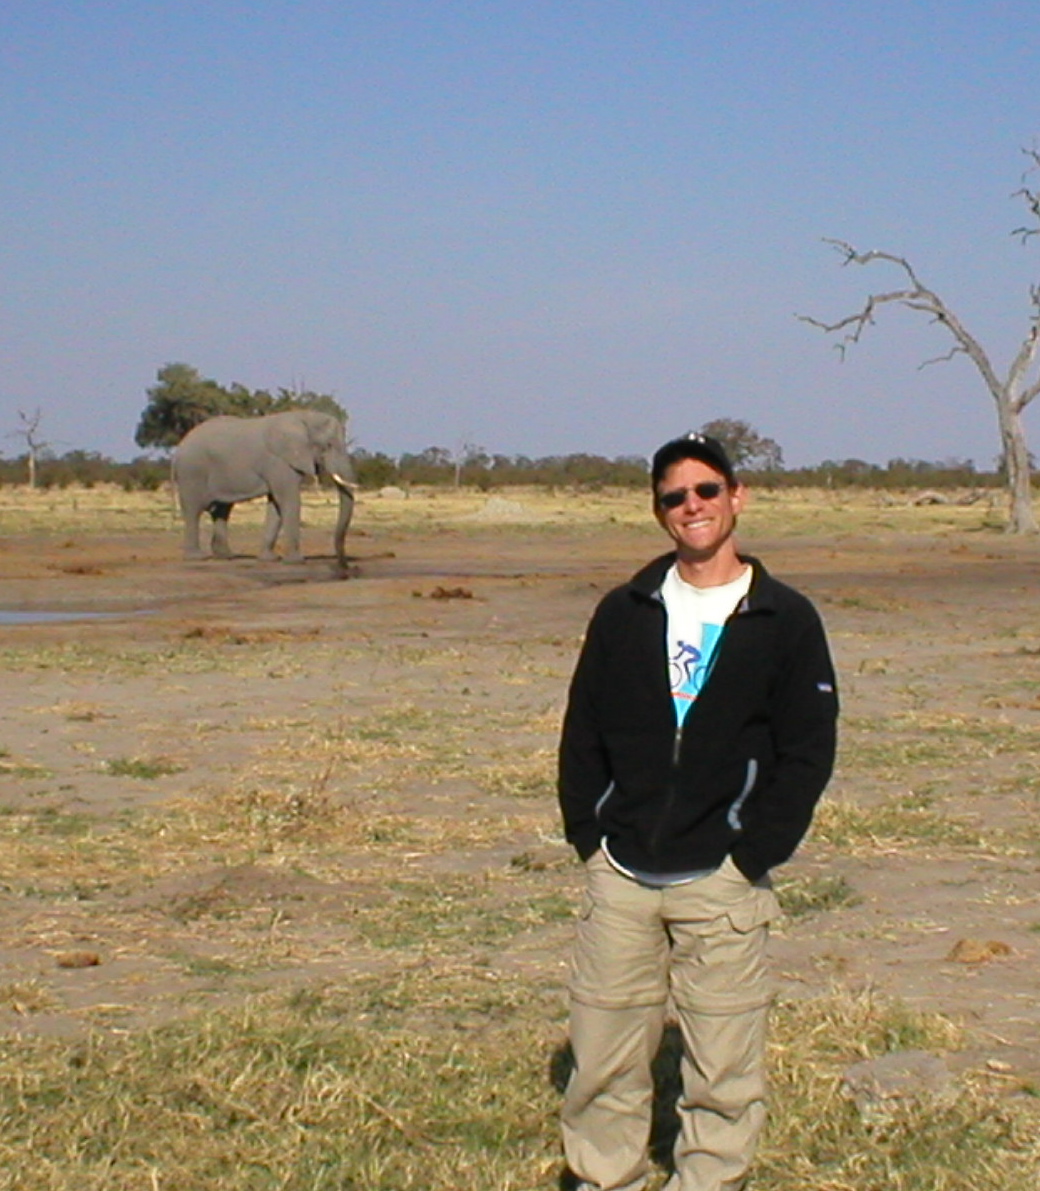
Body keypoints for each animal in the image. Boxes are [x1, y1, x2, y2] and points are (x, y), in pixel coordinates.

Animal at [172, 410, 356, 567]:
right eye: (328, 446)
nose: (343, 565)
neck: (302, 416)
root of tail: (181, 445)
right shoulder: (278, 461)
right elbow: (289, 500)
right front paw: (296, 562)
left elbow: (275, 505)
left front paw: (270, 560)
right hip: (192, 471)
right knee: (194, 510)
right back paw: (197, 558)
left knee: (222, 510)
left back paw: (226, 556)